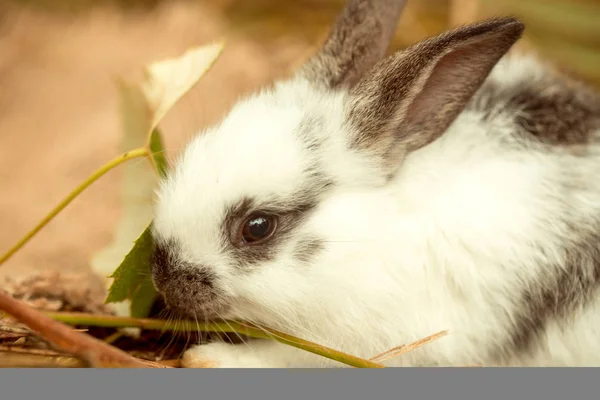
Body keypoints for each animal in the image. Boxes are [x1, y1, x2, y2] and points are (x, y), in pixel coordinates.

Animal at [149, 0, 600, 368]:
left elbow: (287, 356)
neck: (371, 239)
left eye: (257, 227)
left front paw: (206, 358)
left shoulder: (366, 341)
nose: (164, 278)